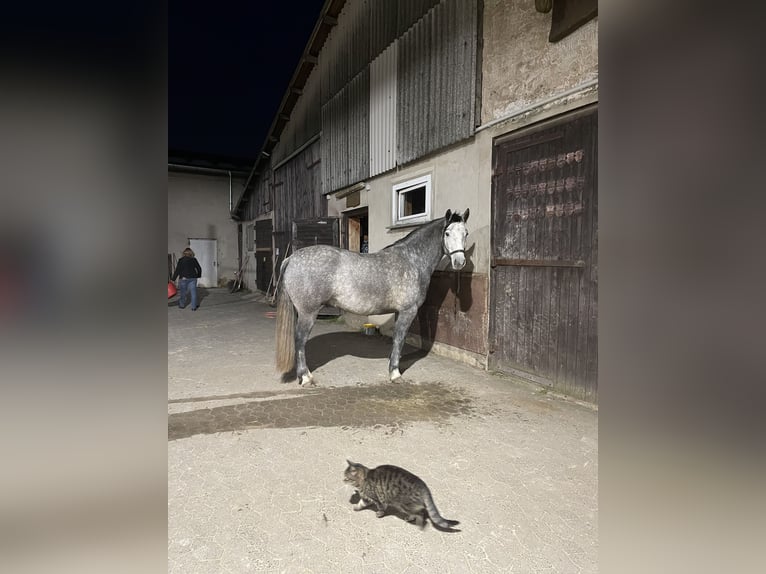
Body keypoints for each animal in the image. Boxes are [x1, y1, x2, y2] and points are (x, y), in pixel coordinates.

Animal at [276, 210, 468, 388]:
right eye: (447, 233)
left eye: (465, 233)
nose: (459, 262)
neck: (412, 260)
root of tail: (291, 258)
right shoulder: (408, 311)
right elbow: (400, 339)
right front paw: (395, 374)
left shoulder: (399, 312)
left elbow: (396, 340)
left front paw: (391, 366)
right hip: (308, 313)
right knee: (300, 340)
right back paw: (305, 378)